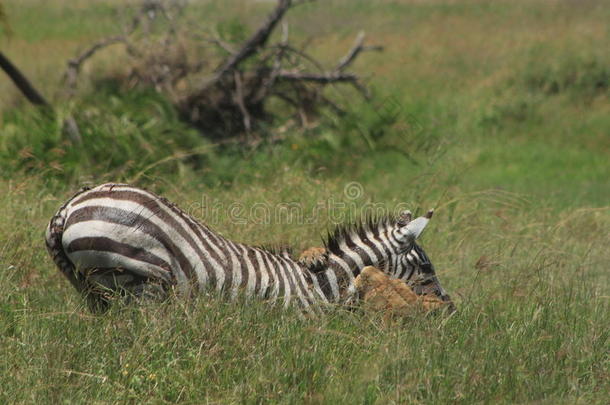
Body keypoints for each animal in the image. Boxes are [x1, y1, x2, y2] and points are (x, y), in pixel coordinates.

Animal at [45, 183, 448, 312]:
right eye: (427, 268)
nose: (451, 309)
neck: (323, 285)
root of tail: (68, 209)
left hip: (97, 291)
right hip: (139, 282)